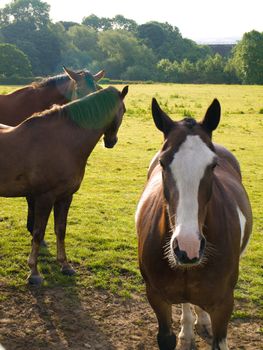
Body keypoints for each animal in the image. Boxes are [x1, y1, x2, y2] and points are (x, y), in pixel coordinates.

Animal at [0, 85, 129, 284]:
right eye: (124, 110)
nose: (111, 141)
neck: (64, 142)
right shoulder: (44, 197)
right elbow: (38, 232)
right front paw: (34, 272)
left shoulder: (65, 196)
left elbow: (60, 229)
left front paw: (65, 265)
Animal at [136, 98, 254, 350]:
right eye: (163, 163)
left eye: (213, 165)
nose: (187, 247)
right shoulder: (157, 298)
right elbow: (167, 336)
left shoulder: (224, 304)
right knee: (187, 303)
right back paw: (188, 332)